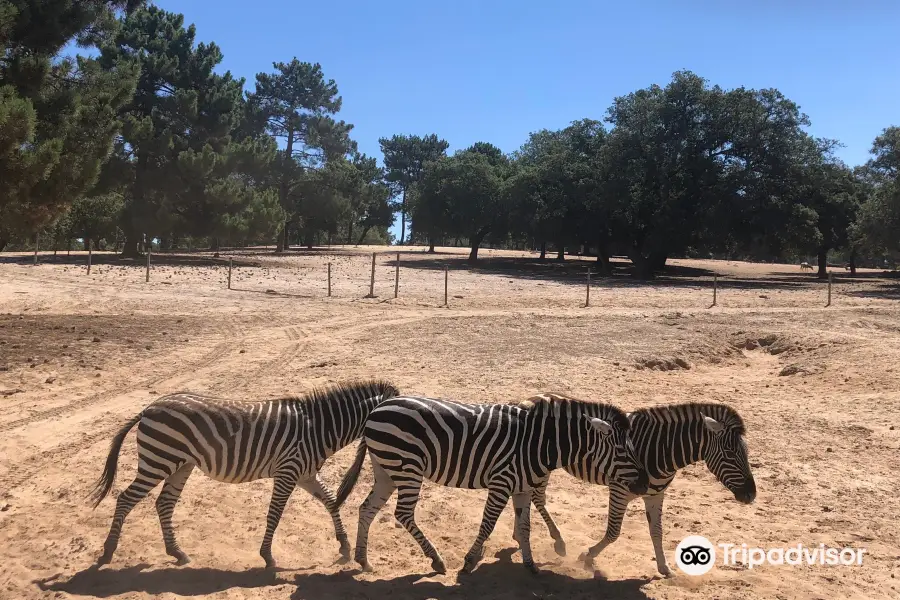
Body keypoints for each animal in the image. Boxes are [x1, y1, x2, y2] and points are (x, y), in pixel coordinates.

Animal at [89, 378, 398, 568]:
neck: (318, 428)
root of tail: (148, 408)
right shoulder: (288, 471)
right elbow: (275, 513)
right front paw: (267, 556)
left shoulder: (305, 473)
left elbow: (331, 501)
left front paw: (344, 546)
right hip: (158, 460)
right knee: (125, 499)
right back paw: (108, 551)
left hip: (180, 464)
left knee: (164, 503)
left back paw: (177, 553)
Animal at [338, 392, 648, 576]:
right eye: (622, 450)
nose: (645, 485)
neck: (539, 442)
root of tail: (377, 409)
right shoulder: (502, 482)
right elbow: (487, 524)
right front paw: (469, 561)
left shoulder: (522, 488)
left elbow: (525, 527)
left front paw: (530, 565)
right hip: (407, 467)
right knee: (402, 513)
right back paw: (436, 560)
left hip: (386, 469)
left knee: (367, 508)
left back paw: (363, 560)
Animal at [524, 400, 756, 576]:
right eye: (730, 454)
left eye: (746, 453)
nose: (751, 495)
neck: (660, 450)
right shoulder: (619, 490)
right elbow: (613, 533)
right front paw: (588, 556)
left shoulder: (656, 495)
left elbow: (657, 531)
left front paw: (664, 567)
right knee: (538, 497)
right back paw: (558, 541)